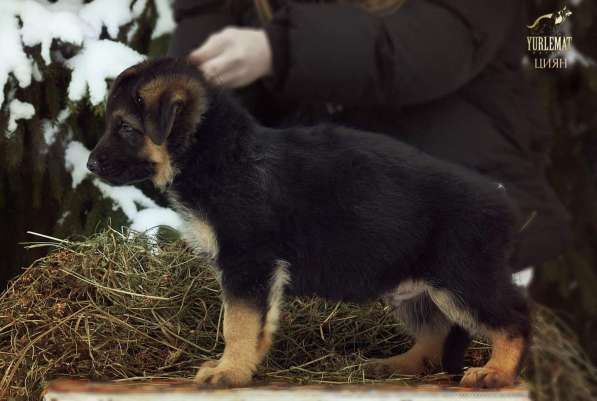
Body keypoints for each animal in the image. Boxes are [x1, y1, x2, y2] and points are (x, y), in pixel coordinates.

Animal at [87, 57, 528, 386]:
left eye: (125, 127)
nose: (90, 165)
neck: (215, 153)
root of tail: (505, 203)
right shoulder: (256, 272)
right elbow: (256, 323)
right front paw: (244, 367)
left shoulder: (248, 263)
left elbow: (238, 323)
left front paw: (229, 372)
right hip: (415, 287)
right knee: (435, 335)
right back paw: (397, 365)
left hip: (463, 278)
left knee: (515, 318)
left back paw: (495, 372)